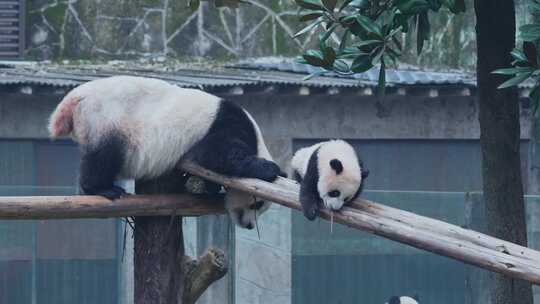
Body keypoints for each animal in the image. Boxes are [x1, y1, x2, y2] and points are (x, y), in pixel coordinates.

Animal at [49, 75, 282, 228]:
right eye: (257, 204)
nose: (249, 225)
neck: (258, 139)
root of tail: (74, 98)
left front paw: (210, 188)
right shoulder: (225, 124)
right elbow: (217, 154)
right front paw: (269, 169)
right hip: (106, 116)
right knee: (105, 154)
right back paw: (103, 189)